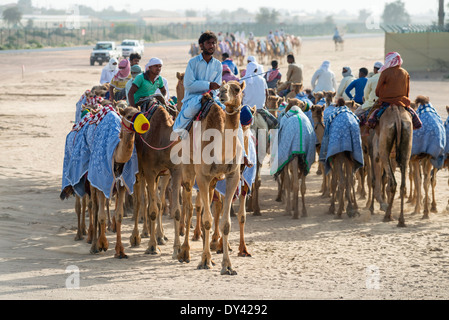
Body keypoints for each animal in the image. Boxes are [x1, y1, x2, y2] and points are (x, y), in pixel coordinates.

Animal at [177, 80, 245, 276]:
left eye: (237, 88)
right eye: (223, 85)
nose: (221, 92)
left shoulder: (233, 176)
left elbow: (226, 223)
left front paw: (227, 265)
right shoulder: (202, 176)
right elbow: (207, 220)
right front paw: (205, 261)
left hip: (214, 180)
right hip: (188, 168)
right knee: (187, 207)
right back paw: (183, 252)